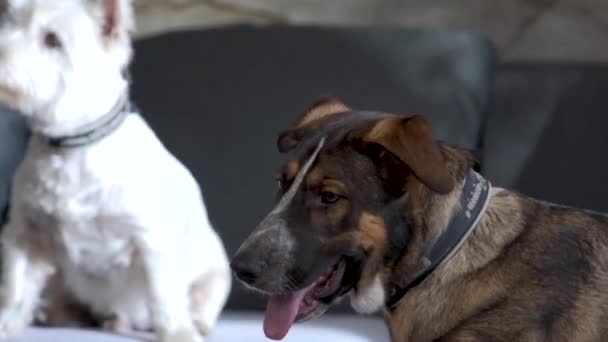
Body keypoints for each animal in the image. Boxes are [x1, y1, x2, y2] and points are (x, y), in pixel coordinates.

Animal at [0, 1, 232, 340]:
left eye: (53, 40)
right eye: (8, 24)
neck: (73, 145)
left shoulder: (152, 240)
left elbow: (164, 293)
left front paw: (178, 332)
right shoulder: (27, 234)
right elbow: (16, 289)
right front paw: (6, 324)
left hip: (215, 273)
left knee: (201, 301)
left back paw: (195, 323)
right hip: (61, 278)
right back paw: (63, 315)